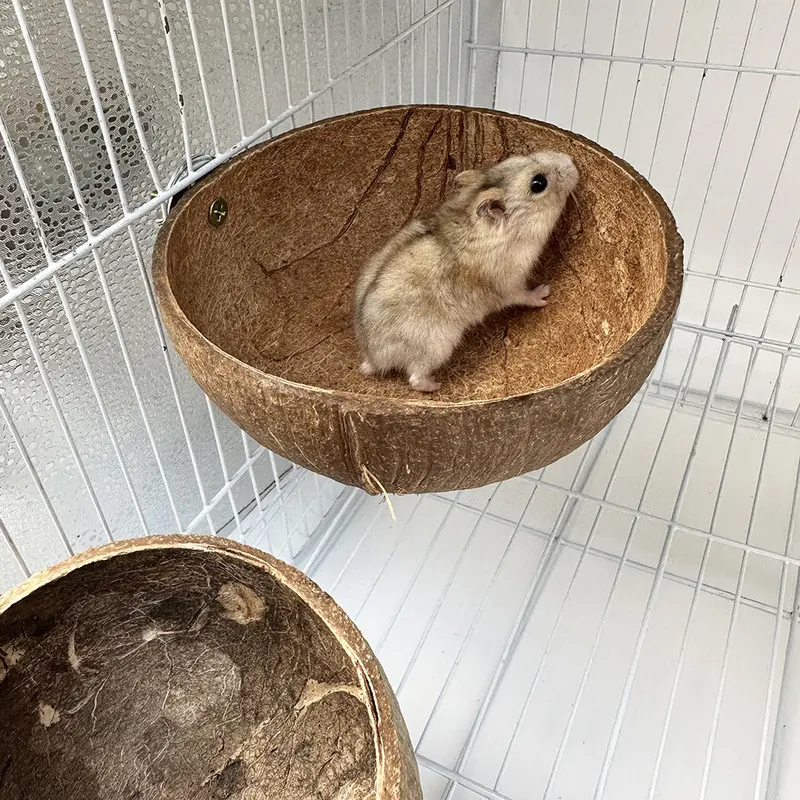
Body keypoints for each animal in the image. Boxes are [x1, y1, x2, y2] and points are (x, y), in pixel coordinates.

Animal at [354, 150, 579, 393]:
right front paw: (544, 292)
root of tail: (373, 357)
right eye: (538, 183)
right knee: (415, 378)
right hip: (435, 346)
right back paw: (436, 384)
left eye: (520, 157)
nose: (571, 160)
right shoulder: (509, 285)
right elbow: (525, 296)